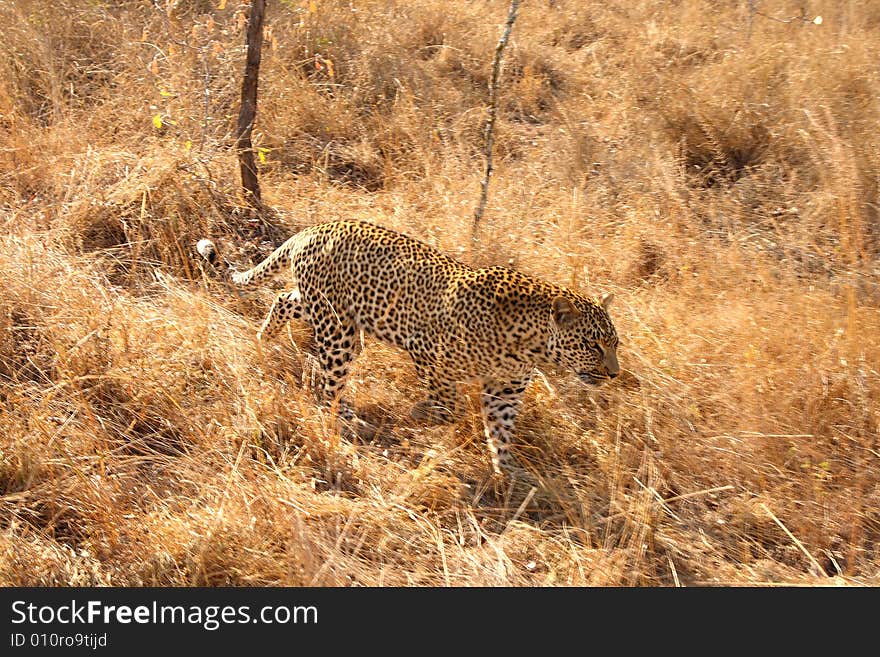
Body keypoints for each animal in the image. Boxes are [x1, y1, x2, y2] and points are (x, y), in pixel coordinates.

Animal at [196, 220, 620, 472]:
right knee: (327, 385)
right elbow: (448, 405)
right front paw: (422, 415)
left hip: (328, 310)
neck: (529, 344)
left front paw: (508, 472)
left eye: (614, 344)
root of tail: (316, 228)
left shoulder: (505, 391)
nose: (614, 374)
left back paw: (264, 340)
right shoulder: (427, 352)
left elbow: (501, 430)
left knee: (283, 299)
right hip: (339, 332)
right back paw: (343, 421)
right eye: (593, 344)